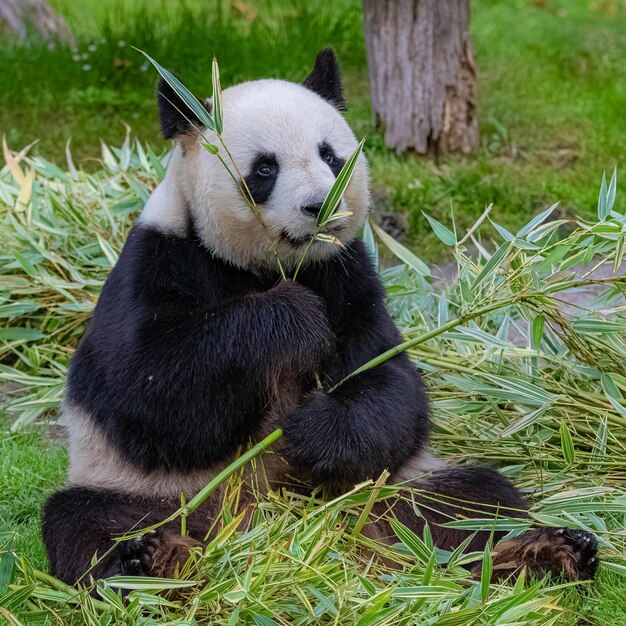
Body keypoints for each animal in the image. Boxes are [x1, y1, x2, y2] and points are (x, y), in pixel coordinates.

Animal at [41, 50, 596, 584]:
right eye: (264, 169)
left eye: (330, 155)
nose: (320, 205)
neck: (269, 266)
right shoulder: (160, 257)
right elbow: (146, 392)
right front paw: (292, 321)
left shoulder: (345, 272)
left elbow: (389, 383)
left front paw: (309, 430)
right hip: (155, 491)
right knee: (89, 522)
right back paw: (153, 561)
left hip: (394, 487)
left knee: (471, 501)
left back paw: (545, 552)